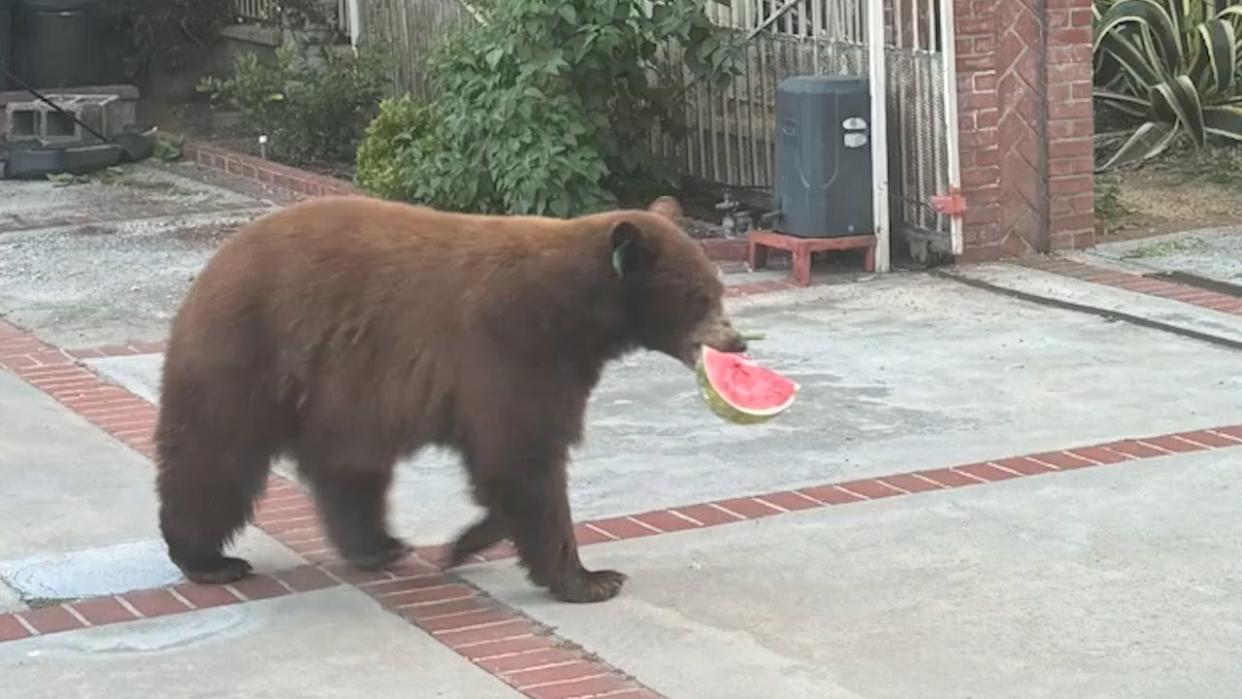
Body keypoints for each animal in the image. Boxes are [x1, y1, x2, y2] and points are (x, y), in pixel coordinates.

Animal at [150, 193, 740, 603]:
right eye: (699, 297)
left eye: (718, 288)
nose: (736, 341)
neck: (579, 314)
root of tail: (214, 264)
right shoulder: (511, 349)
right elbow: (523, 460)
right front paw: (590, 578)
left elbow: (511, 466)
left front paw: (466, 543)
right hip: (249, 355)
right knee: (214, 455)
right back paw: (206, 557)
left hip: (340, 395)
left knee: (349, 470)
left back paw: (378, 545)